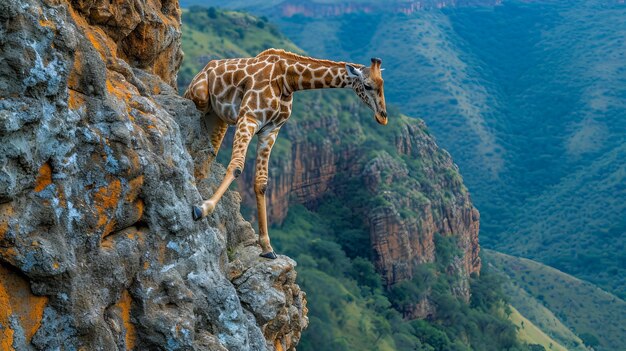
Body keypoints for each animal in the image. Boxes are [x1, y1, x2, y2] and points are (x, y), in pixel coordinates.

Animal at [183, 48, 386, 258]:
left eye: (382, 84)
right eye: (368, 85)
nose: (383, 116)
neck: (288, 80)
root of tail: (205, 68)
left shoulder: (270, 130)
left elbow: (261, 183)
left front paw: (267, 247)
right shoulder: (249, 117)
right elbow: (237, 166)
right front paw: (201, 209)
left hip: (218, 117)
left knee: (212, 148)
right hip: (199, 98)